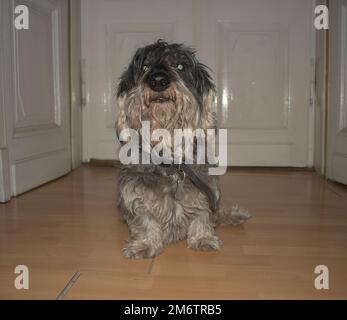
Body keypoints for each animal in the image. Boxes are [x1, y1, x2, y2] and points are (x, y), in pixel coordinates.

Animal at [116, 40, 250, 260]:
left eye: (180, 66)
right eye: (144, 66)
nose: (158, 80)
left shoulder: (205, 186)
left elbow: (202, 213)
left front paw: (202, 238)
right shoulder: (134, 193)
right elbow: (145, 221)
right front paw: (145, 244)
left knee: (217, 212)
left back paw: (235, 215)